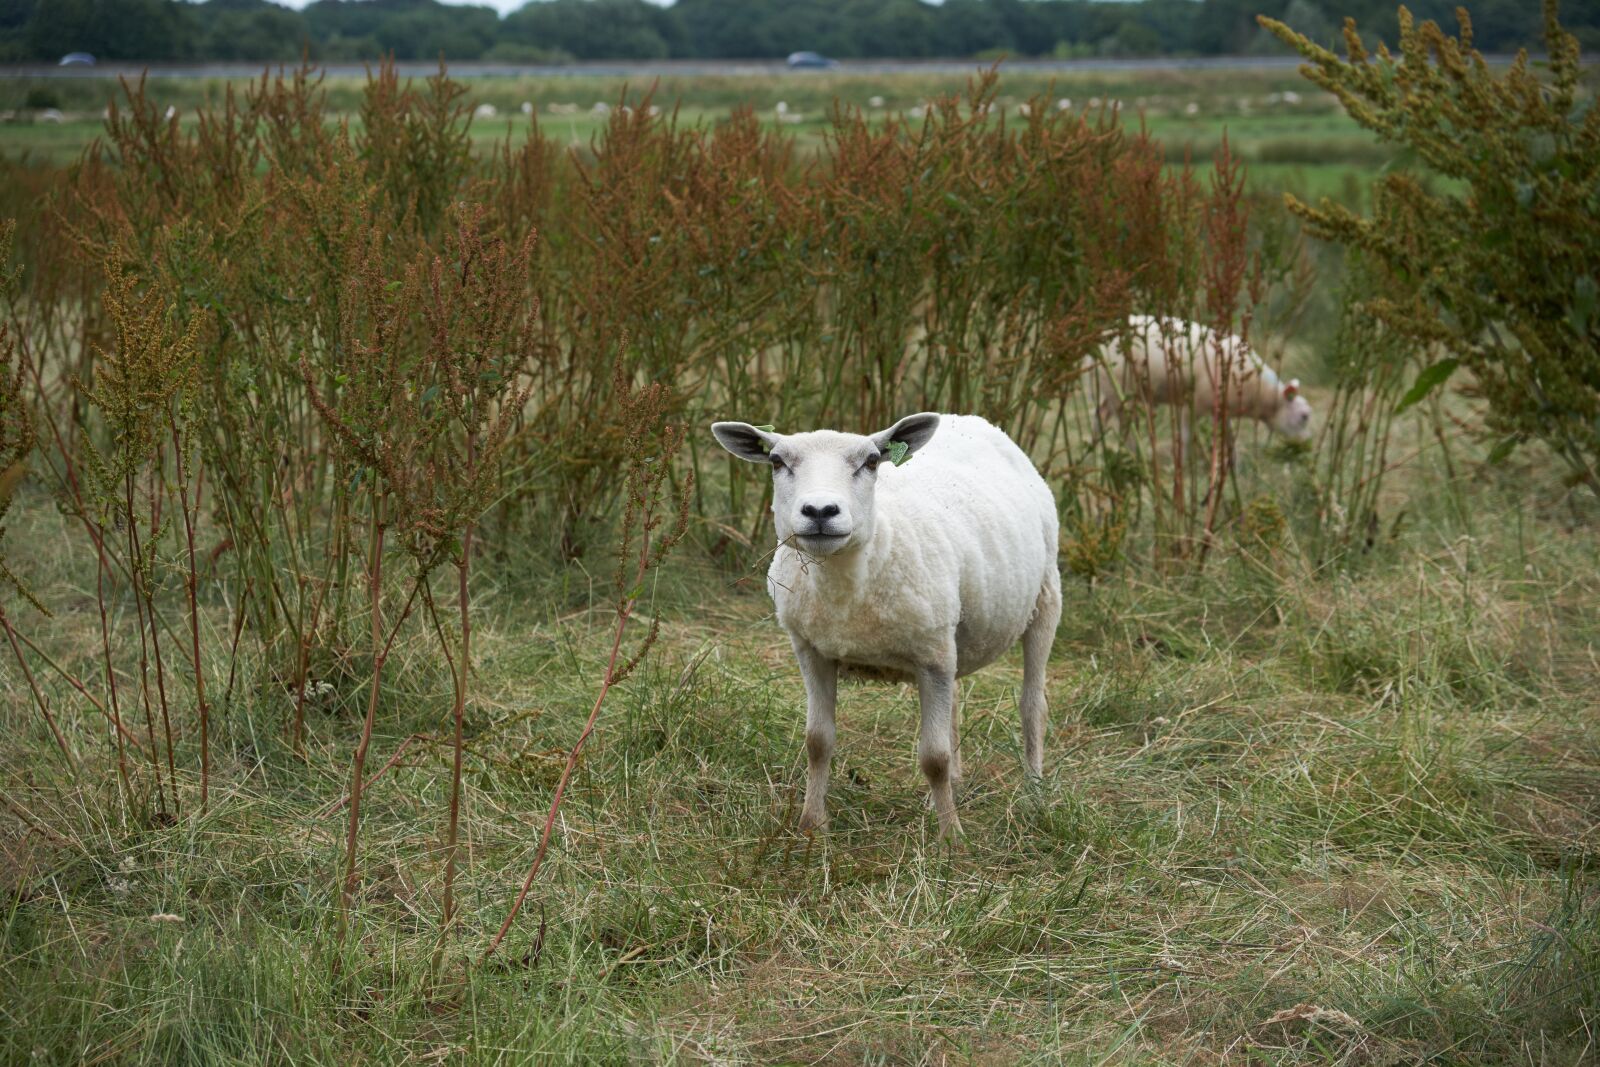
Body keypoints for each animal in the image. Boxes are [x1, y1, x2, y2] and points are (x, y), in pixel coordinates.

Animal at [711, 413, 1062, 840]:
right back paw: (952, 789)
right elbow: (817, 742)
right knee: (954, 706)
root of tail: (965, 417)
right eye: (777, 462)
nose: (820, 511)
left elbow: (934, 757)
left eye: (872, 462)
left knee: (1033, 706)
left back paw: (1034, 794)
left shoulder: (931, 657)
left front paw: (951, 837)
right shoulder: (811, 650)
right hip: (952, 634)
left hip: (1045, 599)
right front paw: (812, 824)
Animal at [1088, 314, 1312, 443]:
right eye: (1304, 416)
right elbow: (1186, 439)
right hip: (1122, 390)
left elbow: (1230, 444)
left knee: (1100, 414)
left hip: (1109, 389)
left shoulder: (1223, 411)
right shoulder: (1194, 404)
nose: (1306, 444)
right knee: (1126, 427)